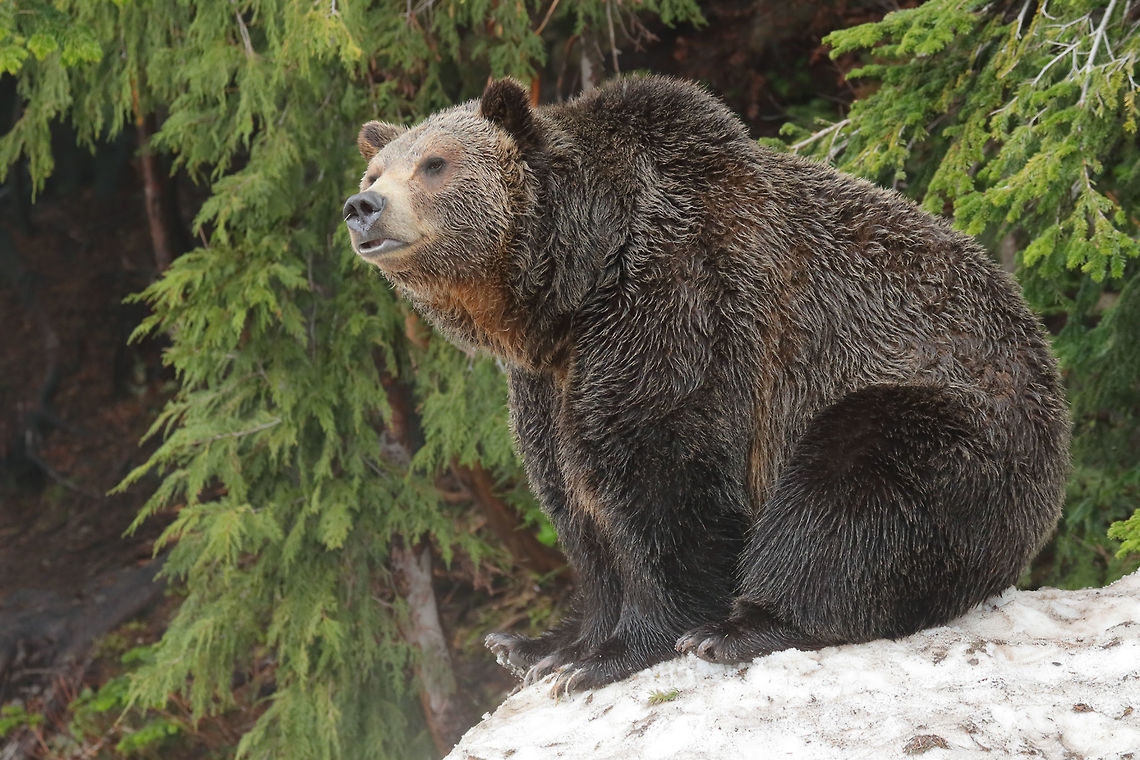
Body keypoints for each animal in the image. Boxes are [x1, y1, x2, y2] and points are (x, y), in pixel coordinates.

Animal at [343, 76, 1070, 694]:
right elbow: (573, 500)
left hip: (949, 417)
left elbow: (663, 476)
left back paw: (745, 627)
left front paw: (612, 654)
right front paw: (548, 645)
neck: (575, 283)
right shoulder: (549, 379)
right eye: (377, 170)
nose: (363, 207)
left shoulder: (679, 304)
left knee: (853, 489)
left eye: (434, 164)